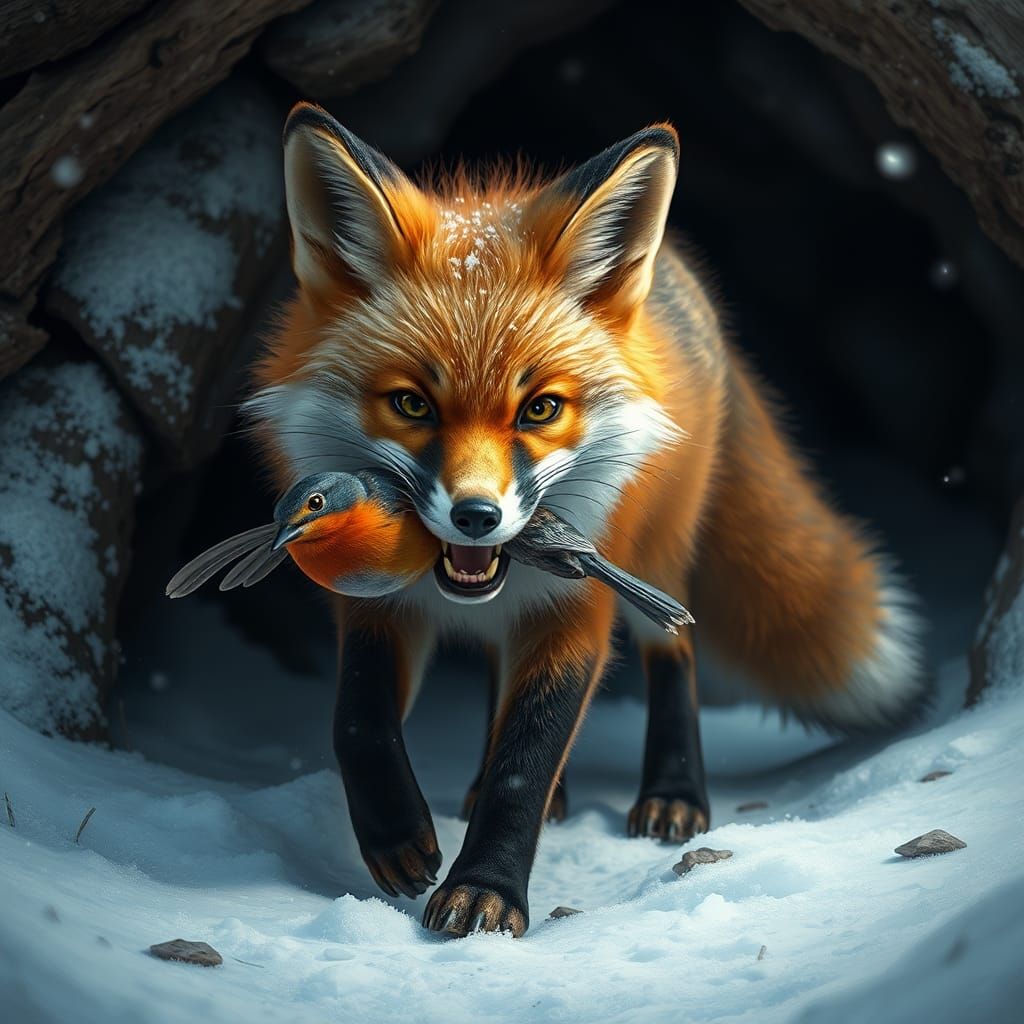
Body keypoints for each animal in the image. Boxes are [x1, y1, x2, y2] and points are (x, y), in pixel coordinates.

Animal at [244, 103, 926, 938]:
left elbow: (527, 761)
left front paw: (487, 890)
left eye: (540, 409)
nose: (478, 517)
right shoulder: (376, 604)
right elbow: (357, 722)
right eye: (411, 404)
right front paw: (398, 837)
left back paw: (674, 795)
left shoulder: (579, 607)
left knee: (674, 653)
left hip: (656, 559)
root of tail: (682, 284)